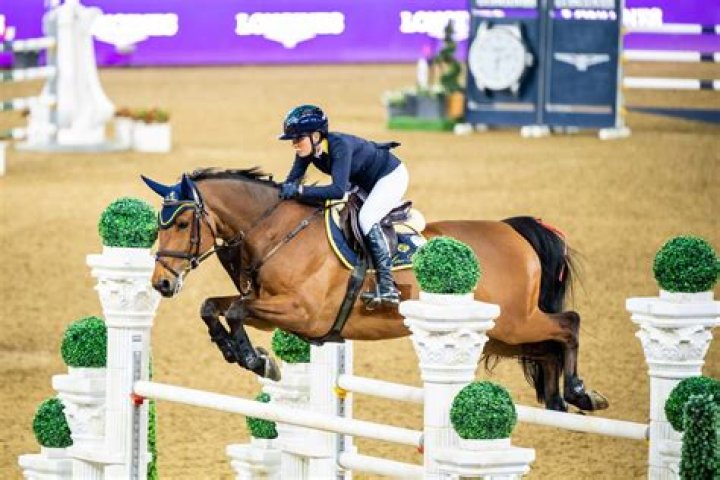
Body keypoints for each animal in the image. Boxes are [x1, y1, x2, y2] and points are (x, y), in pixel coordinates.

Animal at [142, 168, 608, 412]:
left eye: (181, 223)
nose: (161, 282)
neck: (278, 231)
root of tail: (514, 231)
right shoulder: (271, 308)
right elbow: (212, 306)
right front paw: (233, 350)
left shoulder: (302, 312)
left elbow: (236, 311)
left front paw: (258, 360)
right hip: (501, 334)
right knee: (549, 345)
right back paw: (556, 401)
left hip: (513, 322)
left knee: (569, 324)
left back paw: (580, 393)